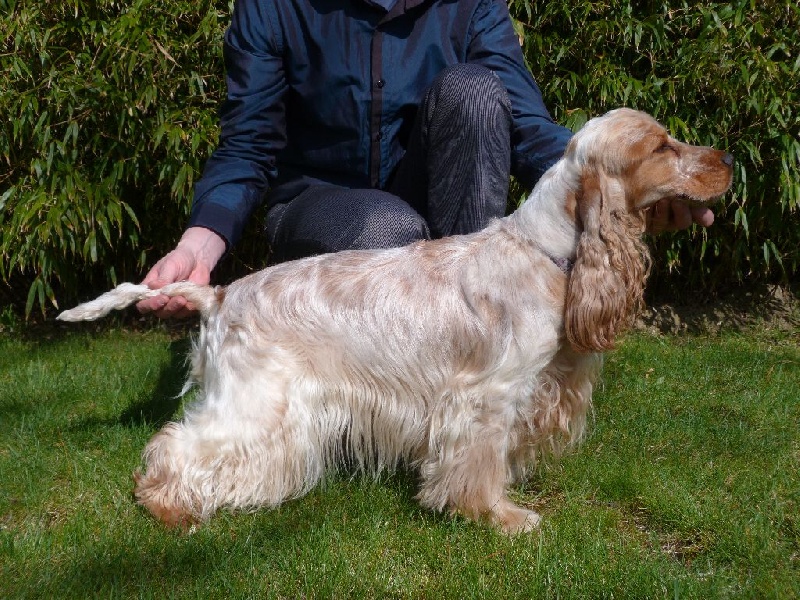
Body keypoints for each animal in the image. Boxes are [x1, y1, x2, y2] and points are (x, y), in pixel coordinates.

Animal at [57, 110, 732, 532]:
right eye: (663, 146)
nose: (727, 158)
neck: (547, 251)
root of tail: (220, 293)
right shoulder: (487, 396)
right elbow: (480, 462)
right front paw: (500, 516)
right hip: (256, 402)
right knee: (174, 444)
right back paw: (169, 509)